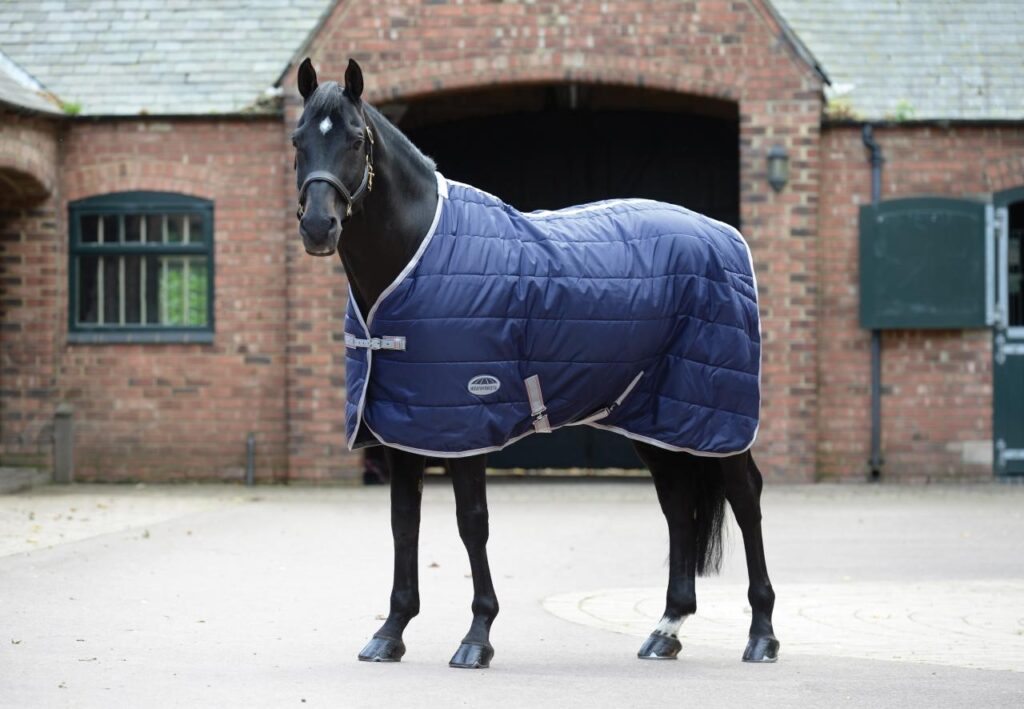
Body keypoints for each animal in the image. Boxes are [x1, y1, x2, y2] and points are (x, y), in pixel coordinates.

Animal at [291, 57, 779, 669]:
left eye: (356, 140)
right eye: (298, 140)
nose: (317, 227)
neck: (417, 257)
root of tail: (724, 235)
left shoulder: (465, 425)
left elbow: (471, 523)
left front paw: (476, 637)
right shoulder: (404, 428)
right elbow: (405, 523)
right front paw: (391, 631)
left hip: (721, 416)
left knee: (747, 498)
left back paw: (761, 633)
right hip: (657, 414)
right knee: (677, 502)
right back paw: (667, 629)